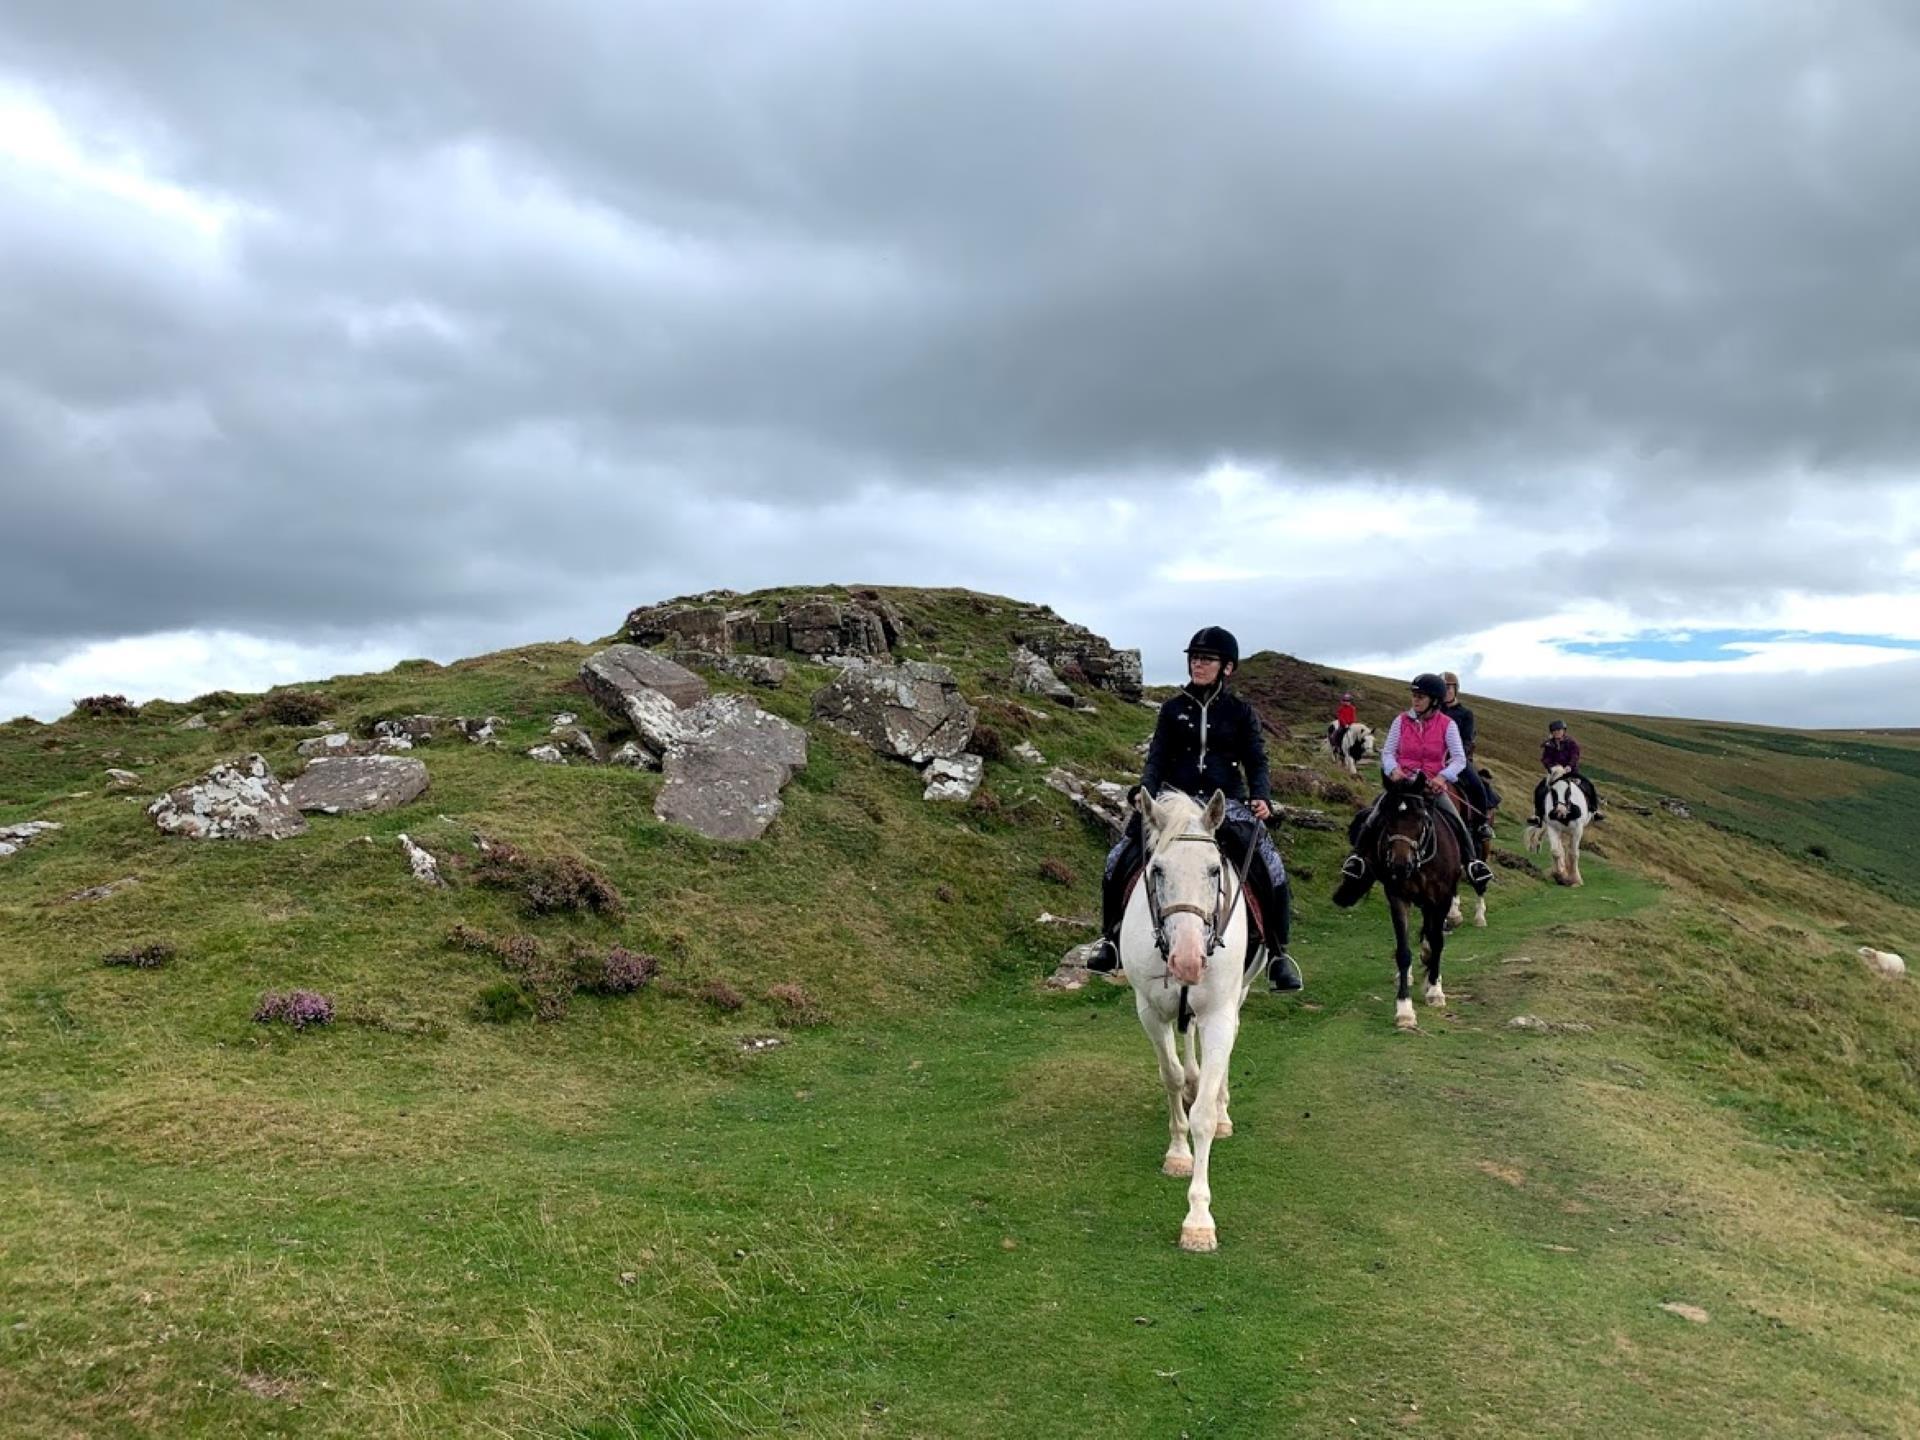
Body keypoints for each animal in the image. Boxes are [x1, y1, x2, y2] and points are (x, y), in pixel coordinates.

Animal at [1121, 791, 1259, 1251]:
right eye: (1157, 870)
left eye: (1214, 869)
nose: (1186, 961)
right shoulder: (1150, 1011)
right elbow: (1172, 1076)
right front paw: (1179, 1153)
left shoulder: (1218, 1013)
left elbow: (1202, 1115)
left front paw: (1198, 1220)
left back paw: (1221, 1108)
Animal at [1351, 783, 1466, 1029]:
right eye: (1387, 820)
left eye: (1421, 820)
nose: (1400, 865)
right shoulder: (1398, 898)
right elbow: (1403, 951)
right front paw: (1404, 1010)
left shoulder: (1441, 899)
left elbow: (1438, 942)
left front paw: (1435, 990)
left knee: (1433, 936)